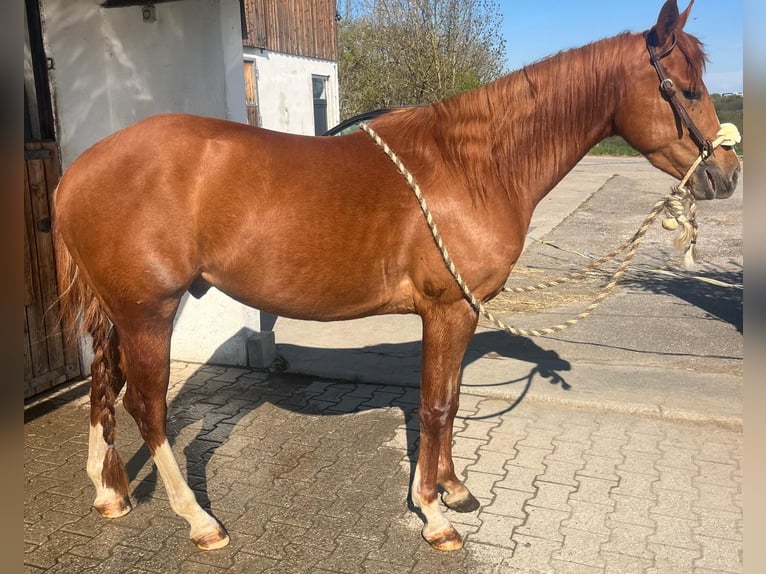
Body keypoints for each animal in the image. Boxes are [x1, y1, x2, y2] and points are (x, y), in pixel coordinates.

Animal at [53, 0, 740, 552]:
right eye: (684, 88)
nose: (727, 175)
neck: (472, 165)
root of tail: (78, 170)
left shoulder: (460, 313)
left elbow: (451, 399)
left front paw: (454, 487)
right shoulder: (447, 310)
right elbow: (434, 406)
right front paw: (434, 515)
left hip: (122, 311)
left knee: (104, 383)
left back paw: (109, 492)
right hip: (149, 311)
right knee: (145, 404)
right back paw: (199, 520)